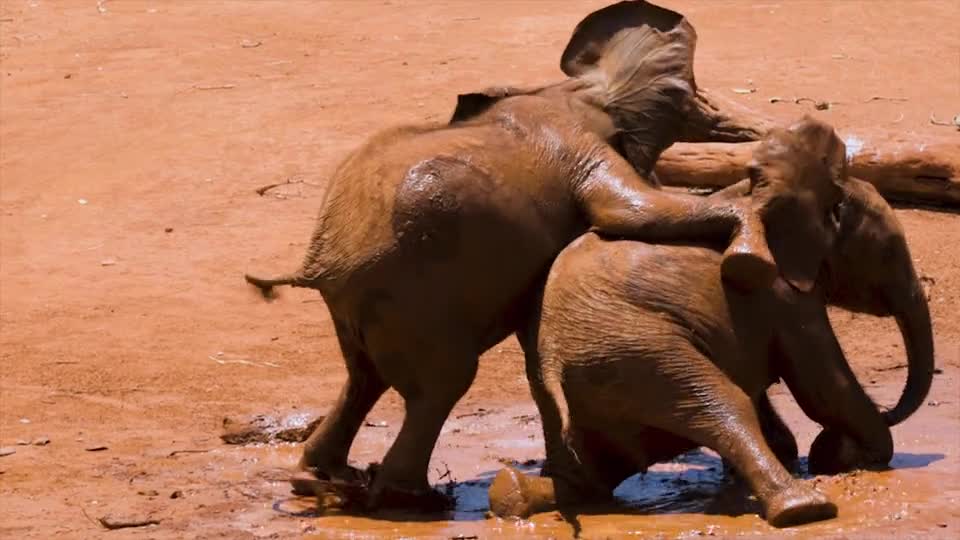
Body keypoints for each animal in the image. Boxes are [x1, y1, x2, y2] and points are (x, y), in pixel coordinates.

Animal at [242, 0, 796, 508]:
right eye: (686, 99)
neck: (573, 88)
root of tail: (319, 263)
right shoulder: (578, 144)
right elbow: (630, 212)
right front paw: (749, 251)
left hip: (365, 304)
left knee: (365, 380)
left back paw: (325, 481)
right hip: (411, 296)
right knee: (441, 383)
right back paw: (414, 500)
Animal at [488, 118, 928, 528]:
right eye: (890, 250)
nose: (889, 409)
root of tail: (554, 360)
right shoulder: (783, 292)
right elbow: (823, 388)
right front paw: (852, 454)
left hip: (574, 388)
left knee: (590, 474)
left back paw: (511, 493)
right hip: (638, 352)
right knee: (723, 405)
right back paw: (804, 509)